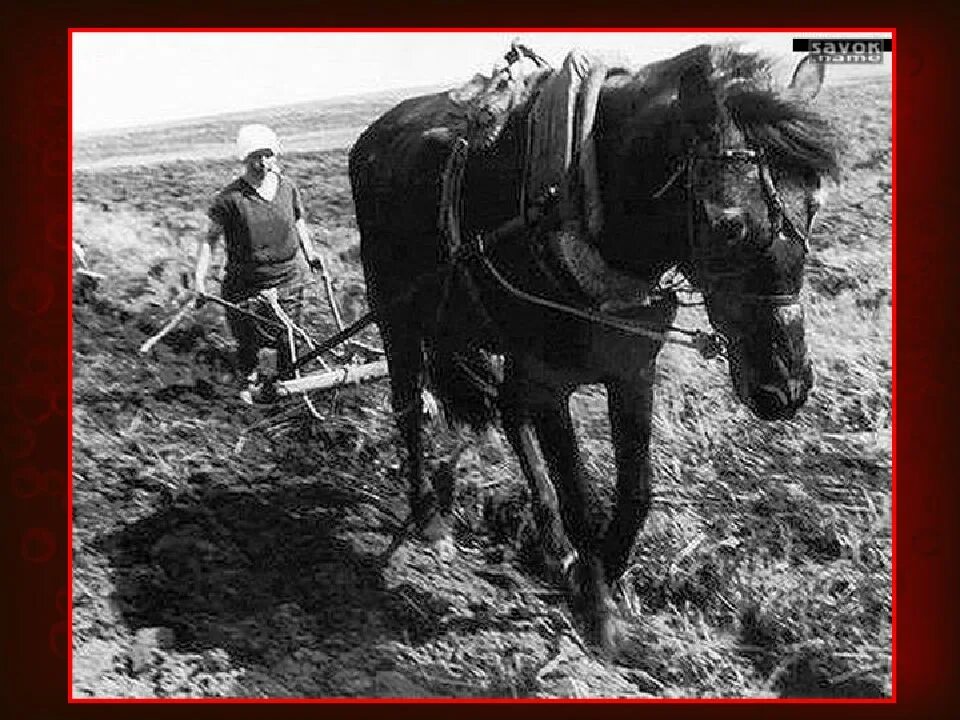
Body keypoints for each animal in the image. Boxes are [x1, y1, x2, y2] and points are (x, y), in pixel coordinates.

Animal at [350, 45, 840, 652]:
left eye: (815, 203)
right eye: (727, 224)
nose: (785, 389)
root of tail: (373, 137)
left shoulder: (631, 370)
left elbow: (636, 493)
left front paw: (600, 570)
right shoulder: (552, 381)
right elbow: (581, 497)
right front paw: (598, 607)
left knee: (508, 410)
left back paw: (551, 544)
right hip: (397, 319)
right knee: (409, 411)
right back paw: (430, 518)